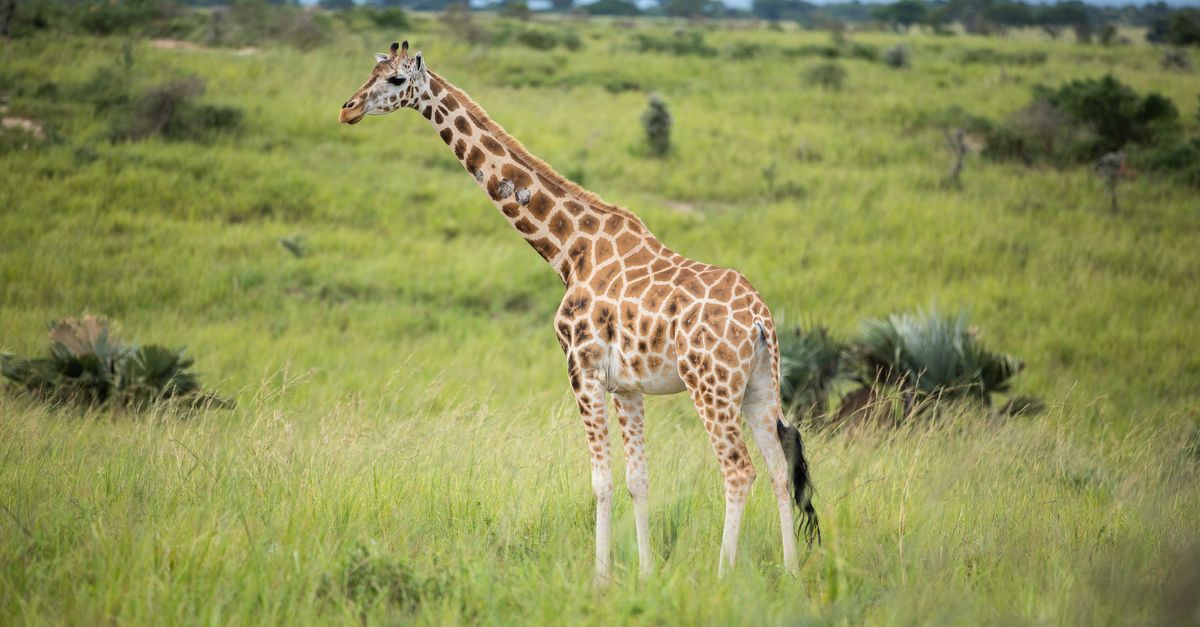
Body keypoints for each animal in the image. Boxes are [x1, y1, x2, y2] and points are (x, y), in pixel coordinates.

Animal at [339, 41, 819, 581]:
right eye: (372, 71)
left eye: (397, 80)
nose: (347, 109)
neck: (570, 250)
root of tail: (760, 319)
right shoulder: (627, 385)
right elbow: (637, 479)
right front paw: (645, 574)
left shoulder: (581, 368)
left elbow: (601, 481)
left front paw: (600, 577)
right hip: (760, 384)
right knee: (779, 467)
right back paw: (791, 572)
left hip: (710, 385)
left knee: (739, 469)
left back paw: (722, 576)